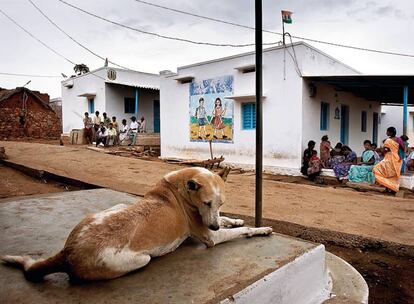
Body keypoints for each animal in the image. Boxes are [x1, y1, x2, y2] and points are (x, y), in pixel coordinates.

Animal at [1, 167, 274, 282]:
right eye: (206, 202)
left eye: (220, 202)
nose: (215, 227)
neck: (183, 187)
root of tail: (68, 251)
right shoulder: (209, 236)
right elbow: (241, 231)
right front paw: (260, 229)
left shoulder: (210, 223)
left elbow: (229, 220)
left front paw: (236, 219)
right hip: (141, 259)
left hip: (118, 205)